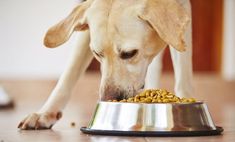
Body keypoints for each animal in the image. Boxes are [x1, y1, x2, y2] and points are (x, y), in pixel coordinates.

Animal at [18, 0, 194, 130]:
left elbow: (183, 75)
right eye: (97, 53)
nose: (108, 99)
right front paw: (46, 113)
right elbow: (69, 73)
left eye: (129, 53)